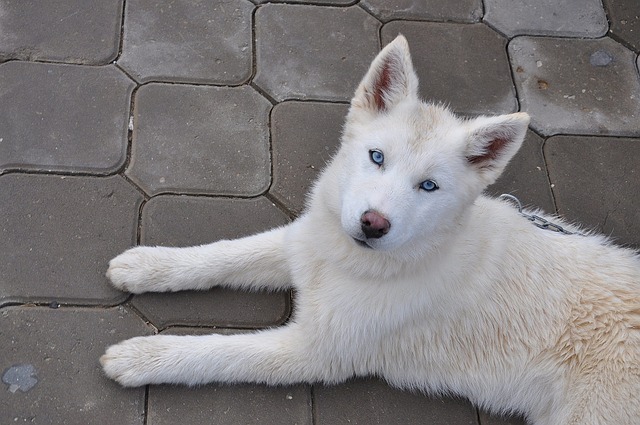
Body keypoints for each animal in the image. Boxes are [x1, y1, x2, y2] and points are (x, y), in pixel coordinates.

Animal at [102, 37, 636, 424]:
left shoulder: (313, 352)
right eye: (377, 157)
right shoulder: (305, 243)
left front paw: (145, 357)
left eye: (428, 186)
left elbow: (215, 352)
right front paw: (149, 265)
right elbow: (223, 254)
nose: (372, 224)